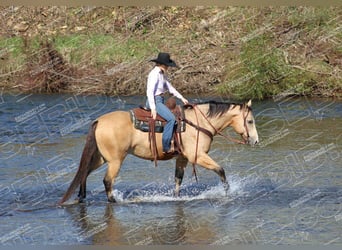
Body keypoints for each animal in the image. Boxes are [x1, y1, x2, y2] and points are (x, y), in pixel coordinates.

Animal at [59, 98, 260, 204]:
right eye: (250, 121)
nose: (256, 141)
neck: (199, 122)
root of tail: (99, 121)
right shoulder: (197, 156)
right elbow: (221, 170)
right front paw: (227, 192)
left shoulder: (182, 158)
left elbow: (178, 180)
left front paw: (176, 198)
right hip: (115, 160)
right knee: (107, 180)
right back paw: (113, 201)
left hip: (101, 157)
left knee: (84, 173)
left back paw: (81, 197)